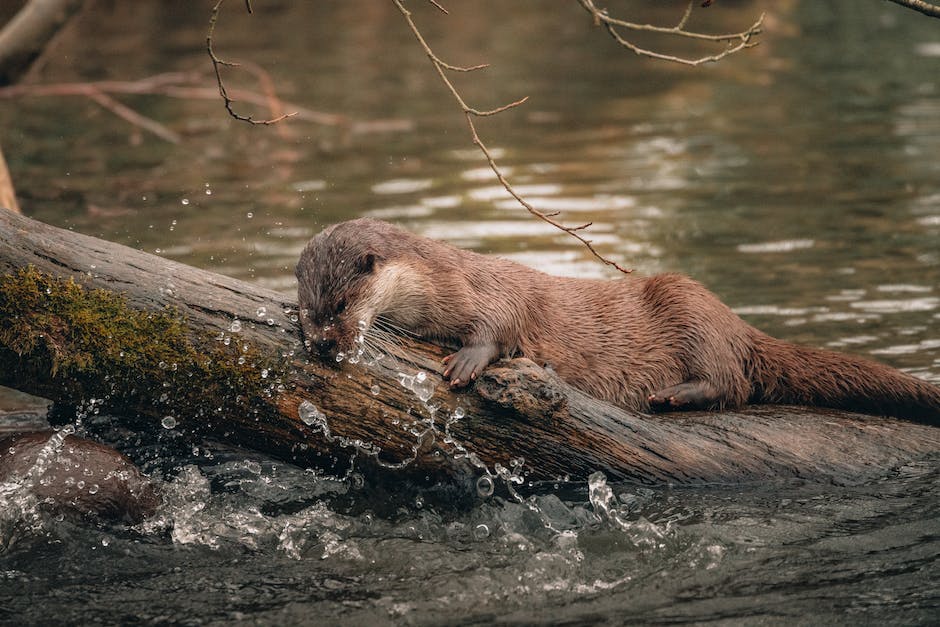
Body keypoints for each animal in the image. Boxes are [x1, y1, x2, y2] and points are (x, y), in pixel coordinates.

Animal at [298, 218, 940, 424]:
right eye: (308, 311)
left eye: (341, 307)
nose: (323, 344)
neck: (441, 283)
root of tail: (735, 323)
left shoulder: (490, 291)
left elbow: (501, 326)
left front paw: (467, 361)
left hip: (689, 307)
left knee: (732, 381)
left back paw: (673, 396)